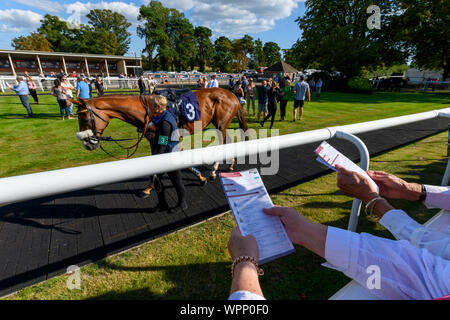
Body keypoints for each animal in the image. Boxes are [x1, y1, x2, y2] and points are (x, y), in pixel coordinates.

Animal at [73, 89, 250, 184]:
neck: (147, 111)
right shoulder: (153, 139)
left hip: (221, 124)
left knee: (224, 143)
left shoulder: (173, 137)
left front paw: (200, 177)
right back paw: (231, 164)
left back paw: (214, 170)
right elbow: (156, 160)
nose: (87, 144)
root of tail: (233, 95)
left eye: (84, 118)